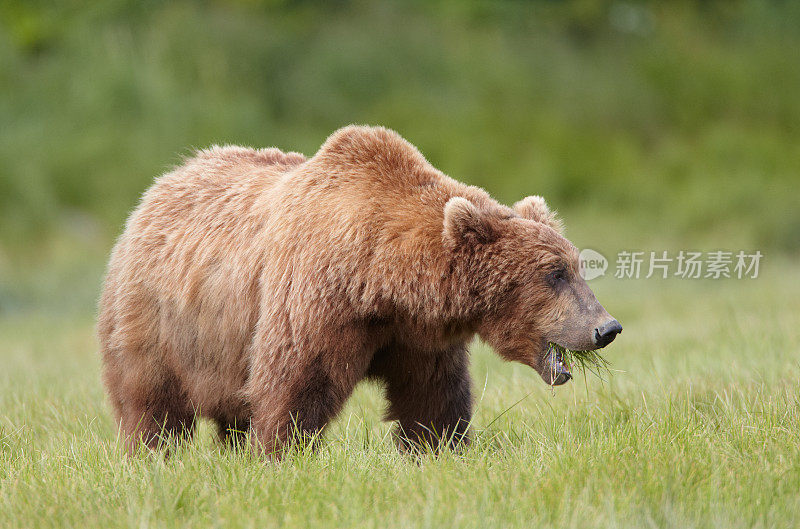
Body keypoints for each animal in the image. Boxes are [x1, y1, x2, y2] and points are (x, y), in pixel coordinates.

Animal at [97, 125, 620, 454]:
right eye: (554, 273)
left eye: (577, 266)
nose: (606, 328)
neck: (381, 278)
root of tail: (161, 184)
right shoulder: (317, 298)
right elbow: (295, 383)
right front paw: (278, 455)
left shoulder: (415, 335)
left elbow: (431, 397)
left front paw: (442, 448)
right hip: (158, 321)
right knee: (151, 404)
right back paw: (153, 455)